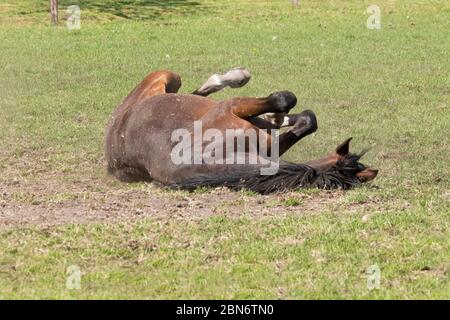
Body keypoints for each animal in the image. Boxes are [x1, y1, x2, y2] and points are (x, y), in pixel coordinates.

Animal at [104, 68, 376, 194]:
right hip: (167, 76)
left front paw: (277, 118)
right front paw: (276, 114)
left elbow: (305, 119)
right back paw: (236, 77)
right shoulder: (231, 106)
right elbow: (285, 99)